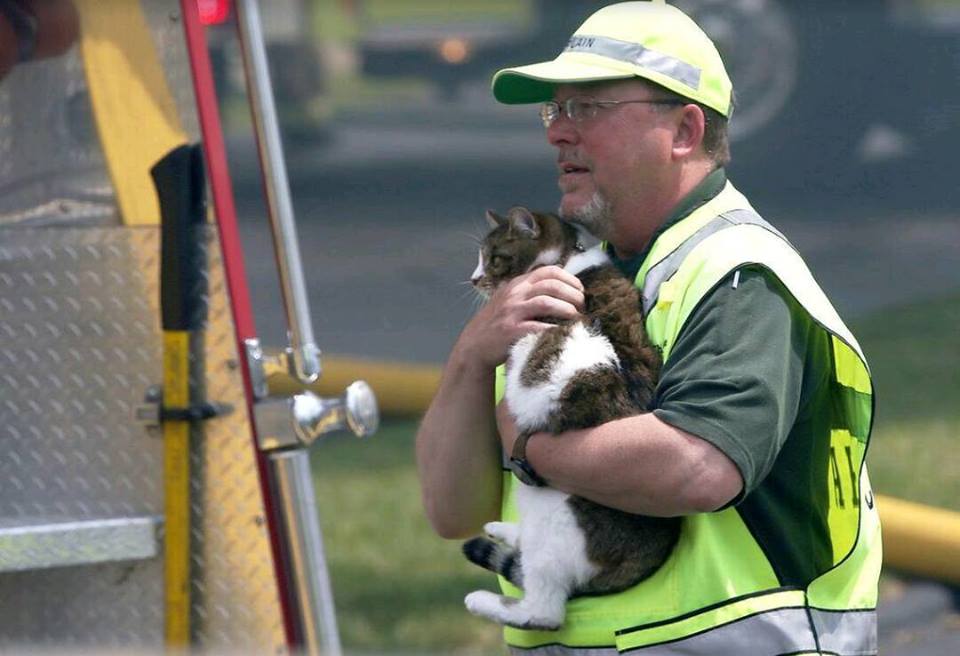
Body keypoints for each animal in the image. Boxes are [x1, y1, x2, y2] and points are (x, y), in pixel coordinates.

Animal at [462, 208, 680, 632]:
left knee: (544, 611)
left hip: (555, 522)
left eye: (495, 258)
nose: (475, 279)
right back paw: (505, 531)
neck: (567, 260)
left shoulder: (567, 355)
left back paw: (483, 600)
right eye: (481, 257)